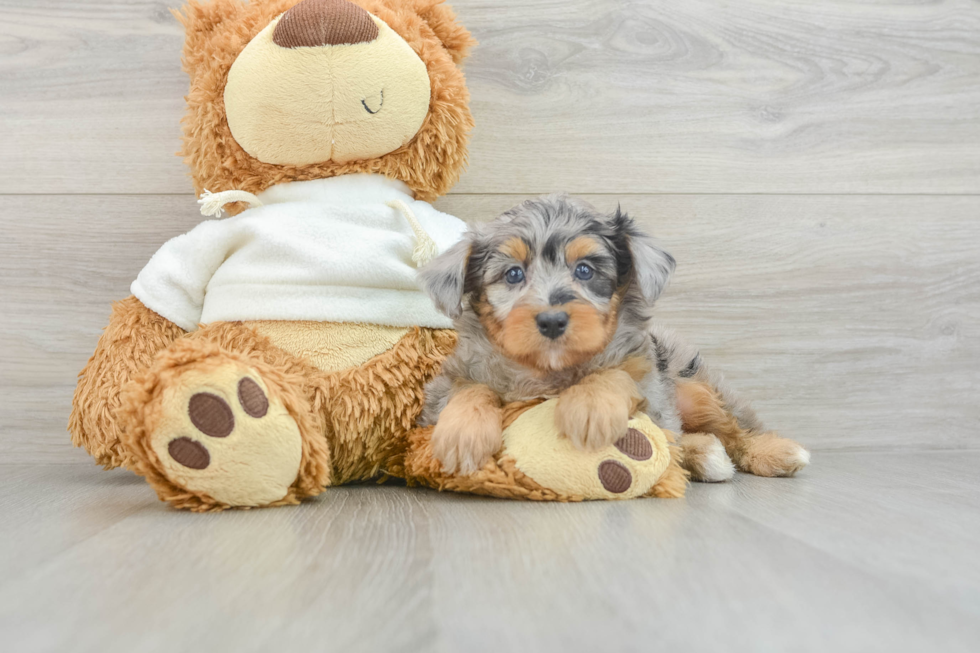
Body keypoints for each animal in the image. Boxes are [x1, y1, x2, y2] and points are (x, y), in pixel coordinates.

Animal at [418, 194, 808, 478]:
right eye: (513, 274)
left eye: (585, 270)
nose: (552, 321)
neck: (550, 370)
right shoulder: (447, 384)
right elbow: (468, 389)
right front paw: (462, 433)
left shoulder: (649, 387)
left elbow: (617, 373)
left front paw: (591, 406)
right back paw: (707, 454)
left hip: (692, 385)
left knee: (729, 428)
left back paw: (771, 452)